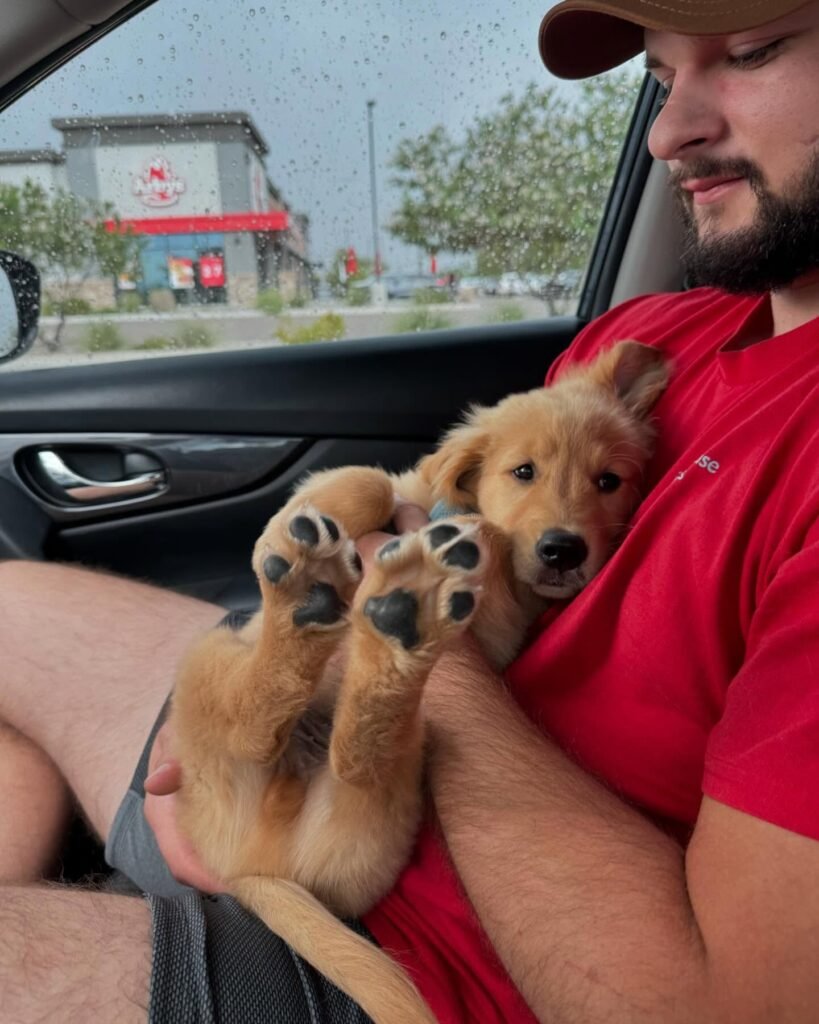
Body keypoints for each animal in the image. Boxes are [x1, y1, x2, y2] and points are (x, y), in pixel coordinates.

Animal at [169, 339, 667, 1019]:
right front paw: (287, 526)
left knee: (350, 760)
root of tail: (244, 866)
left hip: (384, 814)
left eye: (609, 482)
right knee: (253, 720)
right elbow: (370, 480)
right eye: (523, 472)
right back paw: (321, 592)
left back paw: (398, 620)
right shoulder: (407, 491)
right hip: (212, 657)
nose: (563, 550)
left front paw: (467, 549)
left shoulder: (504, 626)